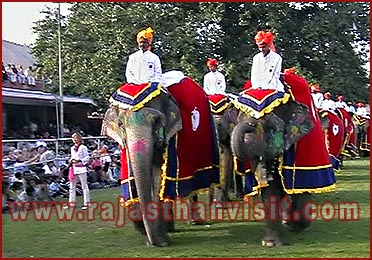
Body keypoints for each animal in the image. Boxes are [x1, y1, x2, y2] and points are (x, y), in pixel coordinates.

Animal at [100, 70, 219, 246]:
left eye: (157, 121)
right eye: (120, 124)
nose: (153, 243)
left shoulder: (172, 134)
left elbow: (160, 178)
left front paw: (162, 240)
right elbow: (132, 175)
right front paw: (147, 231)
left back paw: (194, 222)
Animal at [230, 69, 338, 248]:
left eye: (271, 128)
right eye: (238, 120)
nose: (249, 125)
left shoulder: (304, 149)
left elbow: (302, 187)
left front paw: (298, 225)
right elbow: (270, 189)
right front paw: (270, 243)